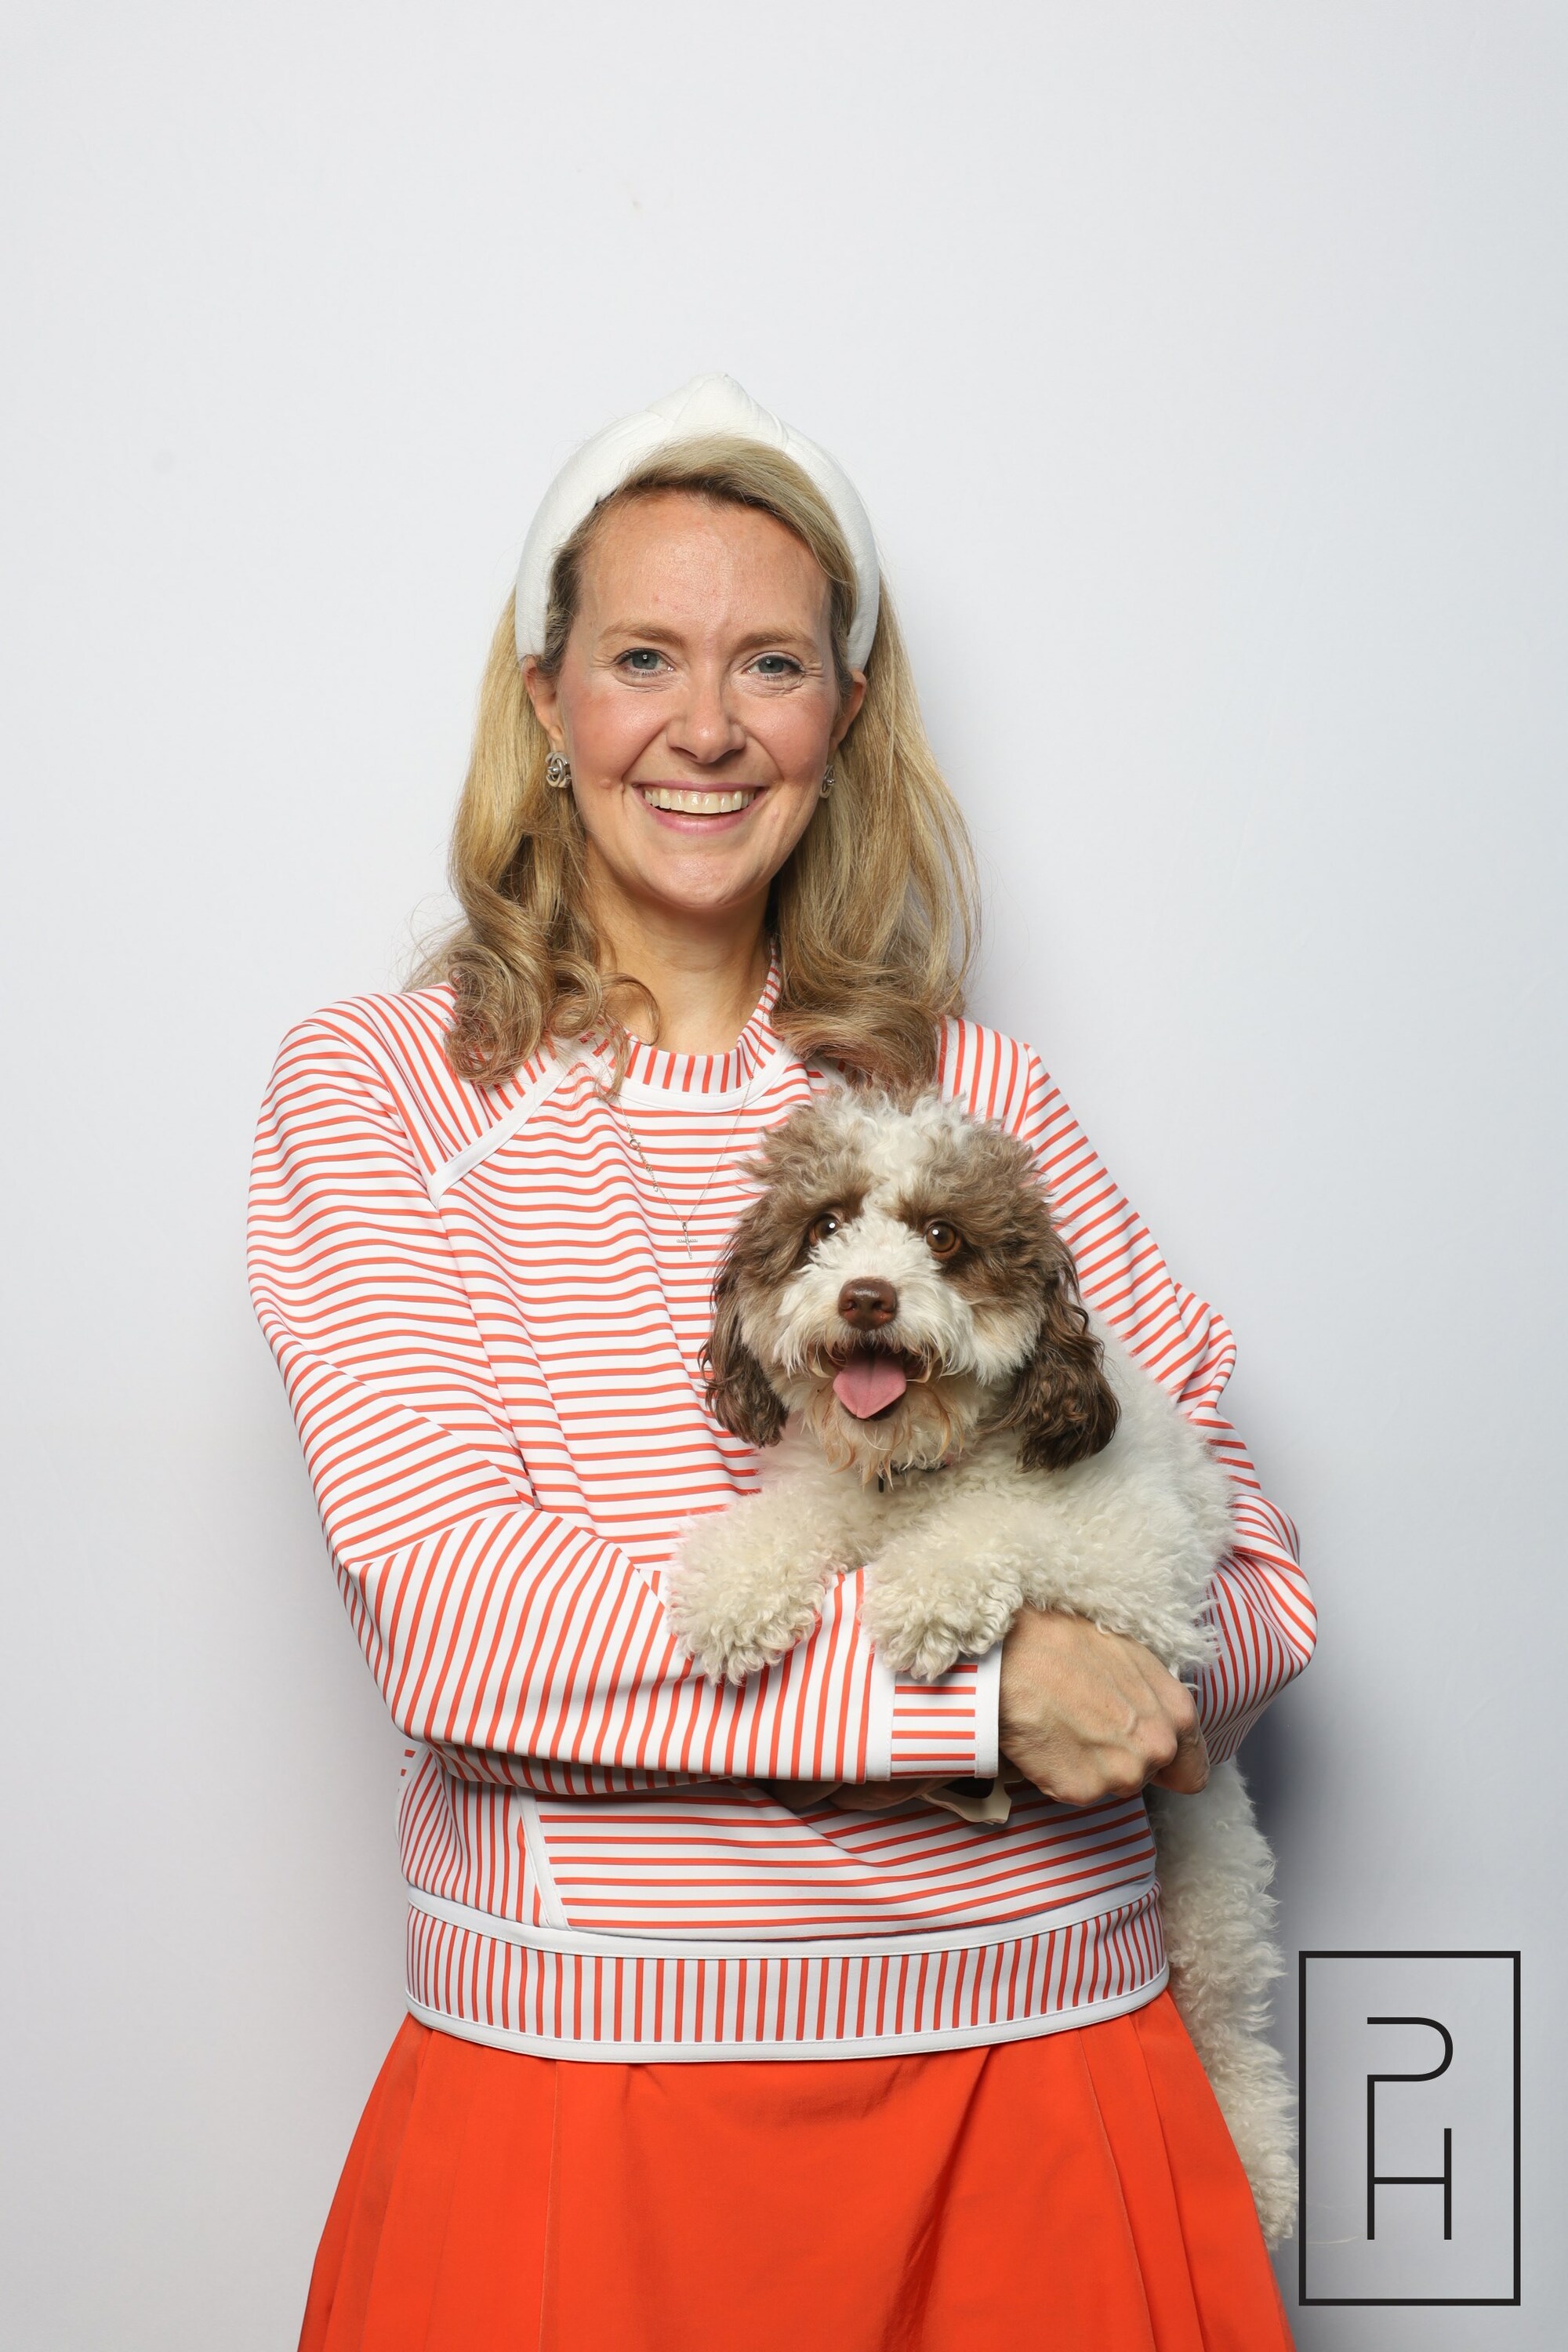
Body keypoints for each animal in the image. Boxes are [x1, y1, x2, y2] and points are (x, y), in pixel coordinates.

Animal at [665, 1086, 1296, 2241]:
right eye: (826, 1228)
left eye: (943, 1238)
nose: (867, 1297)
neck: (917, 1469)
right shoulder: (830, 1494)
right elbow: (786, 1523)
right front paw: (734, 1591)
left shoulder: (1140, 1567)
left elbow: (1007, 1523)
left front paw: (928, 1593)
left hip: (1215, 1881)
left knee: (1234, 2024)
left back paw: (1259, 2170)